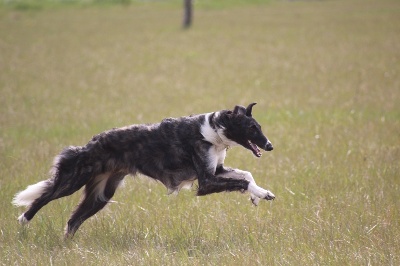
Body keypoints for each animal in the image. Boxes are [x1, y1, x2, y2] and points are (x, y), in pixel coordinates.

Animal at [12, 103, 276, 238]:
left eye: (259, 126)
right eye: (252, 128)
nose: (270, 146)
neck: (214, 129)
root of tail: (90, 143)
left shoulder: (217, 171)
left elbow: (246, 175)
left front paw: (258, 195)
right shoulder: (206, 182)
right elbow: (243, 180)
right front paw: (260, 194)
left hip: (101, 195)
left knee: (72, 220)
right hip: (73, 181)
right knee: (41, 199)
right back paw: (23, 223)